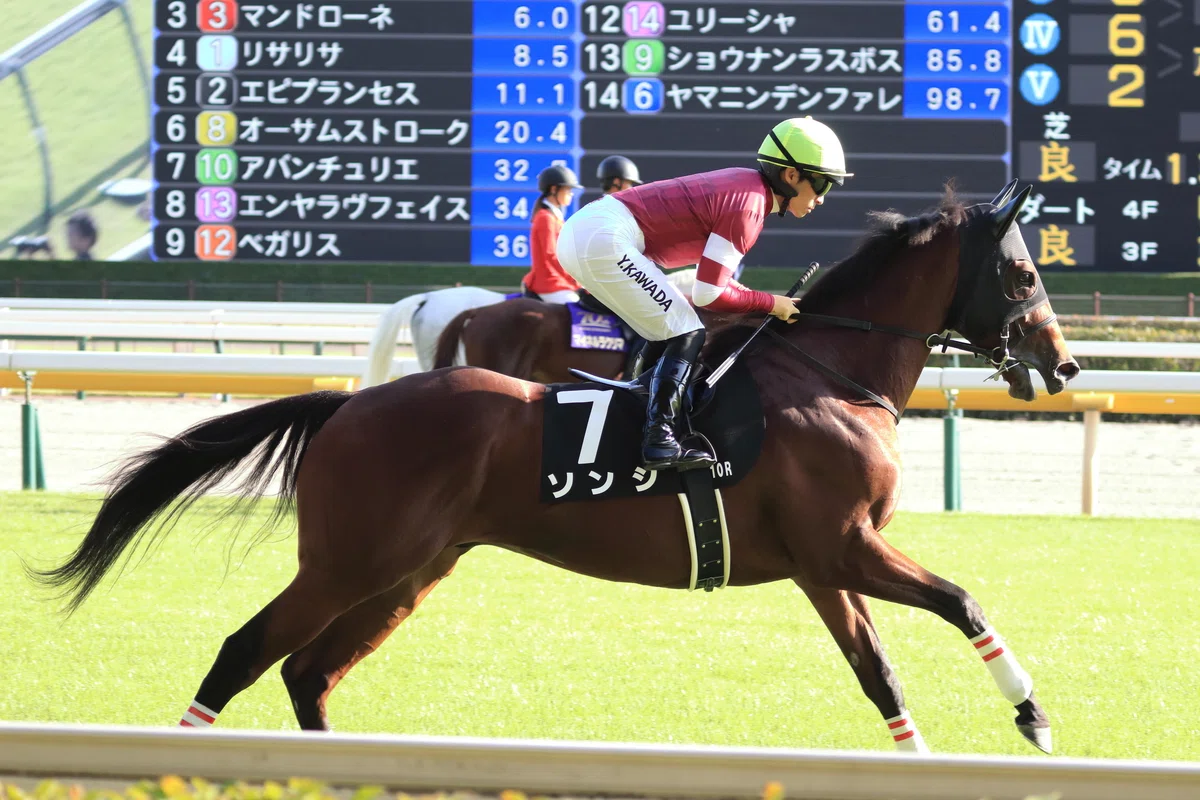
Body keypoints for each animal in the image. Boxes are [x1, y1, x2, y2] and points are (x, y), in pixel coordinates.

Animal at [32, 183, 1079, 754]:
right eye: (1024, 274)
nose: (1064, 366)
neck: (830, 373)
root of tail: (349, 404)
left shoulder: (825, 564)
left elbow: (882, 676)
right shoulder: (845, 547)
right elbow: (963, 601)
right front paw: (1032, 716)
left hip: (411, 571)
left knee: (307, 673)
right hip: (347, 563)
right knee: (246, 652)